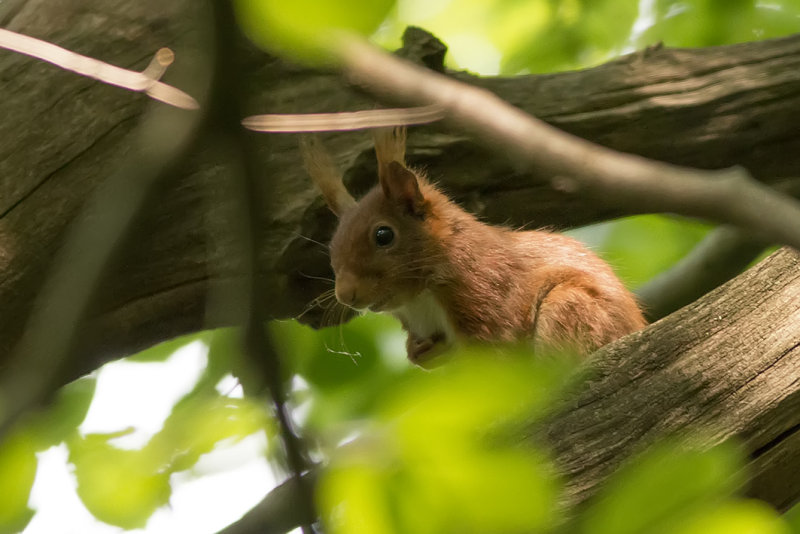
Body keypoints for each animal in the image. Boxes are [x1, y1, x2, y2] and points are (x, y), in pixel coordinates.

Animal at [304, 127, 648, 366]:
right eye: (332, 245)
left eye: (383, 235)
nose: (345, 295)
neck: (418, 298)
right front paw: (417, 352)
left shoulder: (484, 291)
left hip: (571, 308)